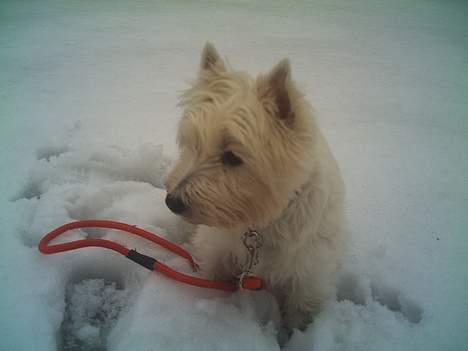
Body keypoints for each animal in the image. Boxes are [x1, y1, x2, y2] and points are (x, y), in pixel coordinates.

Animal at [164, 42, 344, 336]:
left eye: (232, 157)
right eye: (193, 145)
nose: (172, 201)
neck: (261, 223)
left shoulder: (308, 274)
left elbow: (300, 311)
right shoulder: (217, 252)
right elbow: (211, 273)